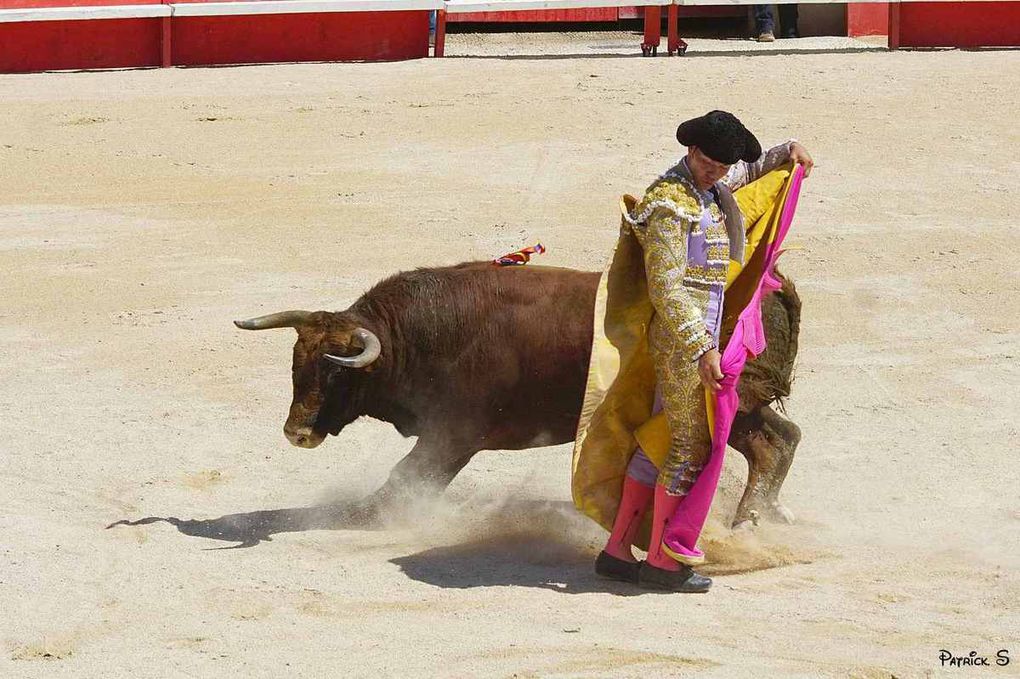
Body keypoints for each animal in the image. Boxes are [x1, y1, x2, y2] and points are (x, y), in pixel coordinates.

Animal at [234, 260, 799, 526]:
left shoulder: (453, 436)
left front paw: (368, 514)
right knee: (778, 440)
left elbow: (405, 478)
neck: (412, 336)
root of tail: (770, 286)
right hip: (739, 411)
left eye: (336, 374)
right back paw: (755, 518)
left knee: (773, 444)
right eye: (296, 364)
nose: (295, 432)